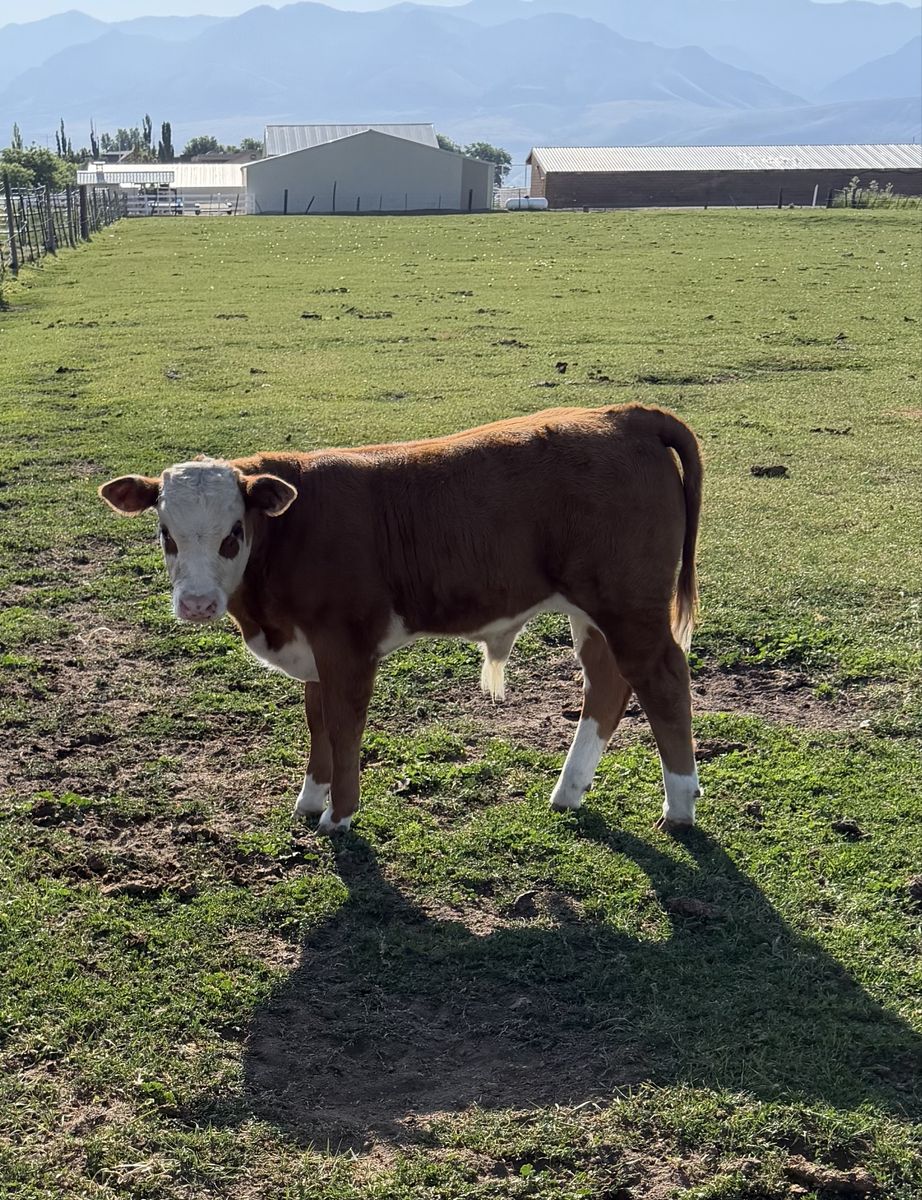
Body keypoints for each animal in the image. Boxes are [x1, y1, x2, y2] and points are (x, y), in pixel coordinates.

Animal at [99, 404, 702, 834]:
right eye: (166, 533)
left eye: (233, 534)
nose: (197, 604)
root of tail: (625, 414)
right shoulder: (313, 649)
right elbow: (317, 722)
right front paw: (309, 799)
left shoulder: (347, 645)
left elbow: (344, 725)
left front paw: (339, 815)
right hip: (597, 610)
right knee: (608, 684)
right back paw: (569, 791)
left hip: (629, 605)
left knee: (663, 681)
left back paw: (679, 805)